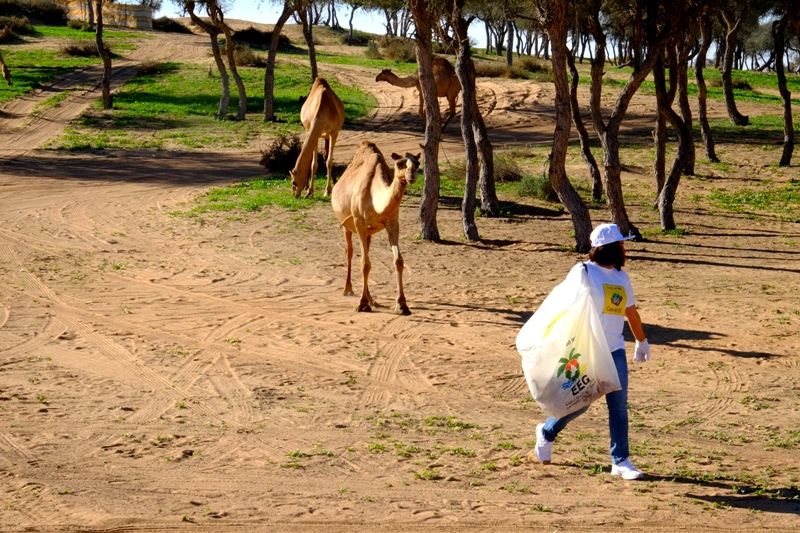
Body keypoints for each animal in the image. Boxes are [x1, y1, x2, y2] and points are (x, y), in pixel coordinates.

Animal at [330, 141, 422, 316]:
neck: (374, 199)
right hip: (347, 225)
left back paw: (372, 300)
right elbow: (364, 263)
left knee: (366, 251)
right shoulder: (358, 222)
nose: (411, 175)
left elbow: (398, 261)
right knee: (349, 252)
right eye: (400, 163)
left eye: (417, 164)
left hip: (369, 232)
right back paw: (348, 290)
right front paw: (362, 304)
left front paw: (402, 305)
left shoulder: (392, 223)